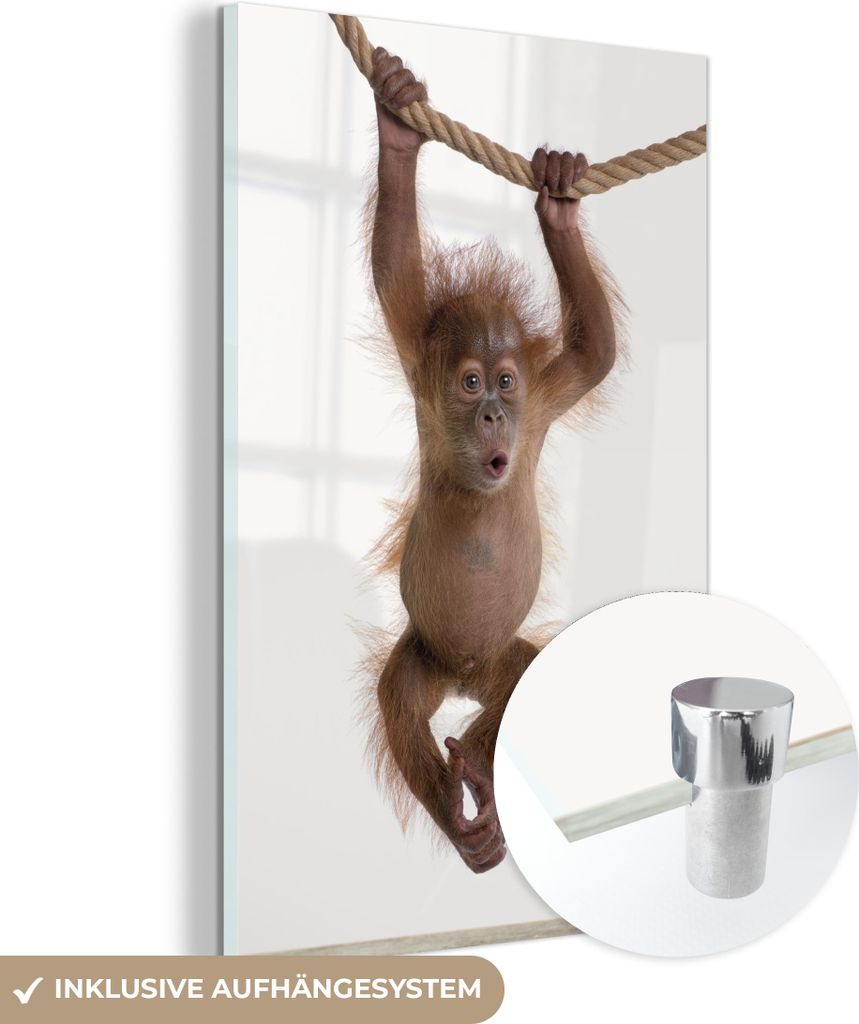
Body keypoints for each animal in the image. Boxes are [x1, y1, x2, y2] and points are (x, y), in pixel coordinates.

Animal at [366, 48, 620, 872]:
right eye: (470, 382)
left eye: (505, 382)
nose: (491, 414)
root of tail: (463, 676)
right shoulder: (420, 364)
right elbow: (393, 269)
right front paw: (397, 128)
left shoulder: (545, 400)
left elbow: (595, 351)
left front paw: (558, 200)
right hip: (423, 658)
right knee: (399, 705)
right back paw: (463, 818)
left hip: (502, 661)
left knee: (520, 681)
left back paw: (478, 769)